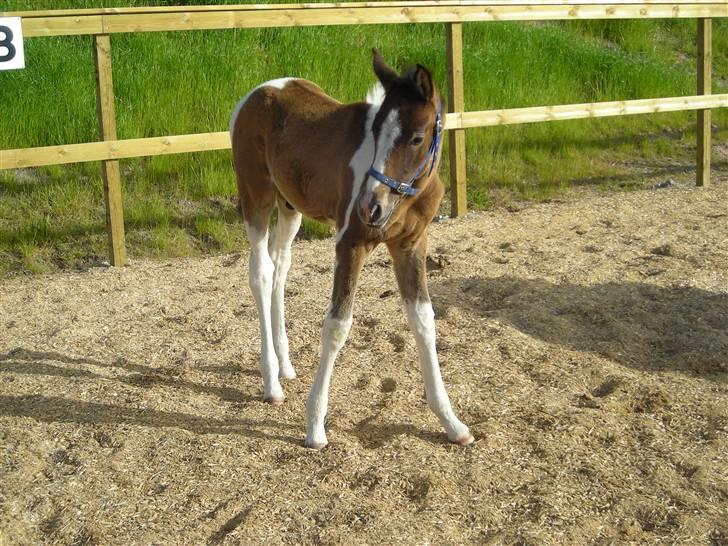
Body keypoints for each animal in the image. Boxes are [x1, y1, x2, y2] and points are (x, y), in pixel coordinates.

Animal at [230, 49, 474, 446]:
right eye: (373, 132)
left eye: (416, 137)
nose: (369, 207)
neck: (406, 197)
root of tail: (259, 91)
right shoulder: (351, 243)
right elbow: (338, 325)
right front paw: (315, 425)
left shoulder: (410, 245)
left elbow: (424, 320)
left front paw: (452, 422)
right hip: (257, 196)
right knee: (261, 272)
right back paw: (271, 382)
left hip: (291, 205)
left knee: (281, 266)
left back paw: (285, 367)